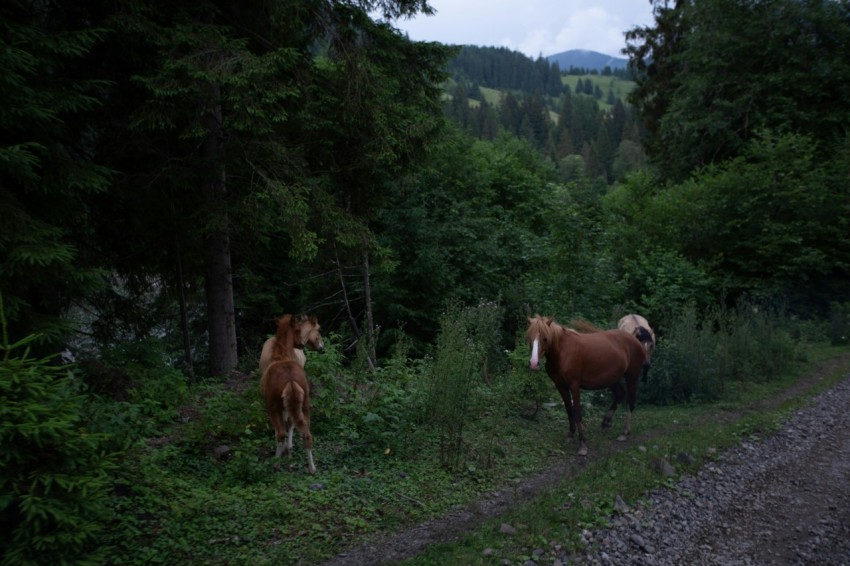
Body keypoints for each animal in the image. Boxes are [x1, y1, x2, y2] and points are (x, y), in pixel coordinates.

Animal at [260, 314, 317, 474]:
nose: (302, 344)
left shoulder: (274, 408)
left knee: (281, 433)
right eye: (299, 330)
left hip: (273, 408)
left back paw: (276, 464)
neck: (281, 356)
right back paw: (312, 468)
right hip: (305, 406)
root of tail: (291, 381)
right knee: (307, 434)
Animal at [526, 315, 647, 456]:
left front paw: (582, 444)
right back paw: (605, 422)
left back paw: (624, 432)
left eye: (545, 338)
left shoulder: (574, 385)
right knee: (620, 394)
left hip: (632, 377)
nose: (533, 364)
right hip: (611, 379)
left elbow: (577, 412)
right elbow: (569, 409)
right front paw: (570, 434)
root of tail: (634, 339)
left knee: (630, 402)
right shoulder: (560, 386)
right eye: (529, 338)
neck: (563, 352)